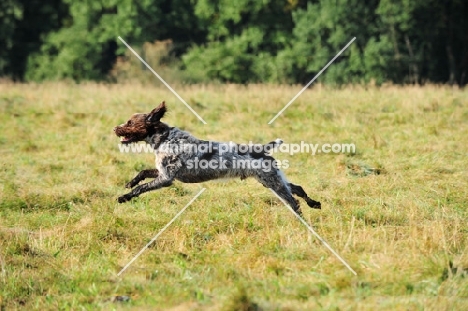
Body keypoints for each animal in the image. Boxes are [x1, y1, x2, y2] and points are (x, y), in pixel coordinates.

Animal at [112, 102, 322, 214]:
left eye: (130, 122)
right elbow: (143, 173)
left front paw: (124, 197)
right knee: (298, 189)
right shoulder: (162, 172)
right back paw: (315, 204)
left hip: (272, 182)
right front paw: (130, 183)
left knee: (294, 202)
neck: (164, 138)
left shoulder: (166, 179)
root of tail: (261, 149)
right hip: (270, 179)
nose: (115, 128)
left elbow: (141, 188)